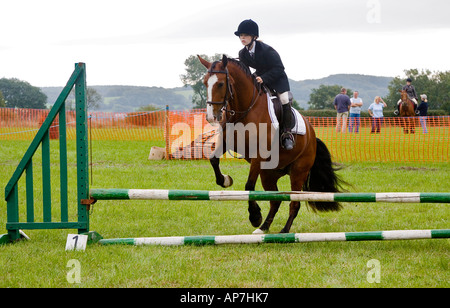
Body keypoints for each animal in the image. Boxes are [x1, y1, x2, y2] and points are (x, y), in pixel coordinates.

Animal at [197, 55, 344, 233]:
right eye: (205, 83)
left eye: (220, 84)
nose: (211, 117)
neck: (244, 110)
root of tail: (312, 135)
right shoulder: (226, 142)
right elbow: (213, 160)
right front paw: (226, 180)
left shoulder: (258, 155)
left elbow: (249, 185)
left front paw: (254, 216)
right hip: (268, 173)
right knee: (275, 200)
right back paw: (263, 228)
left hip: (298, 172)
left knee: (294, 203)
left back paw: (284, 232)